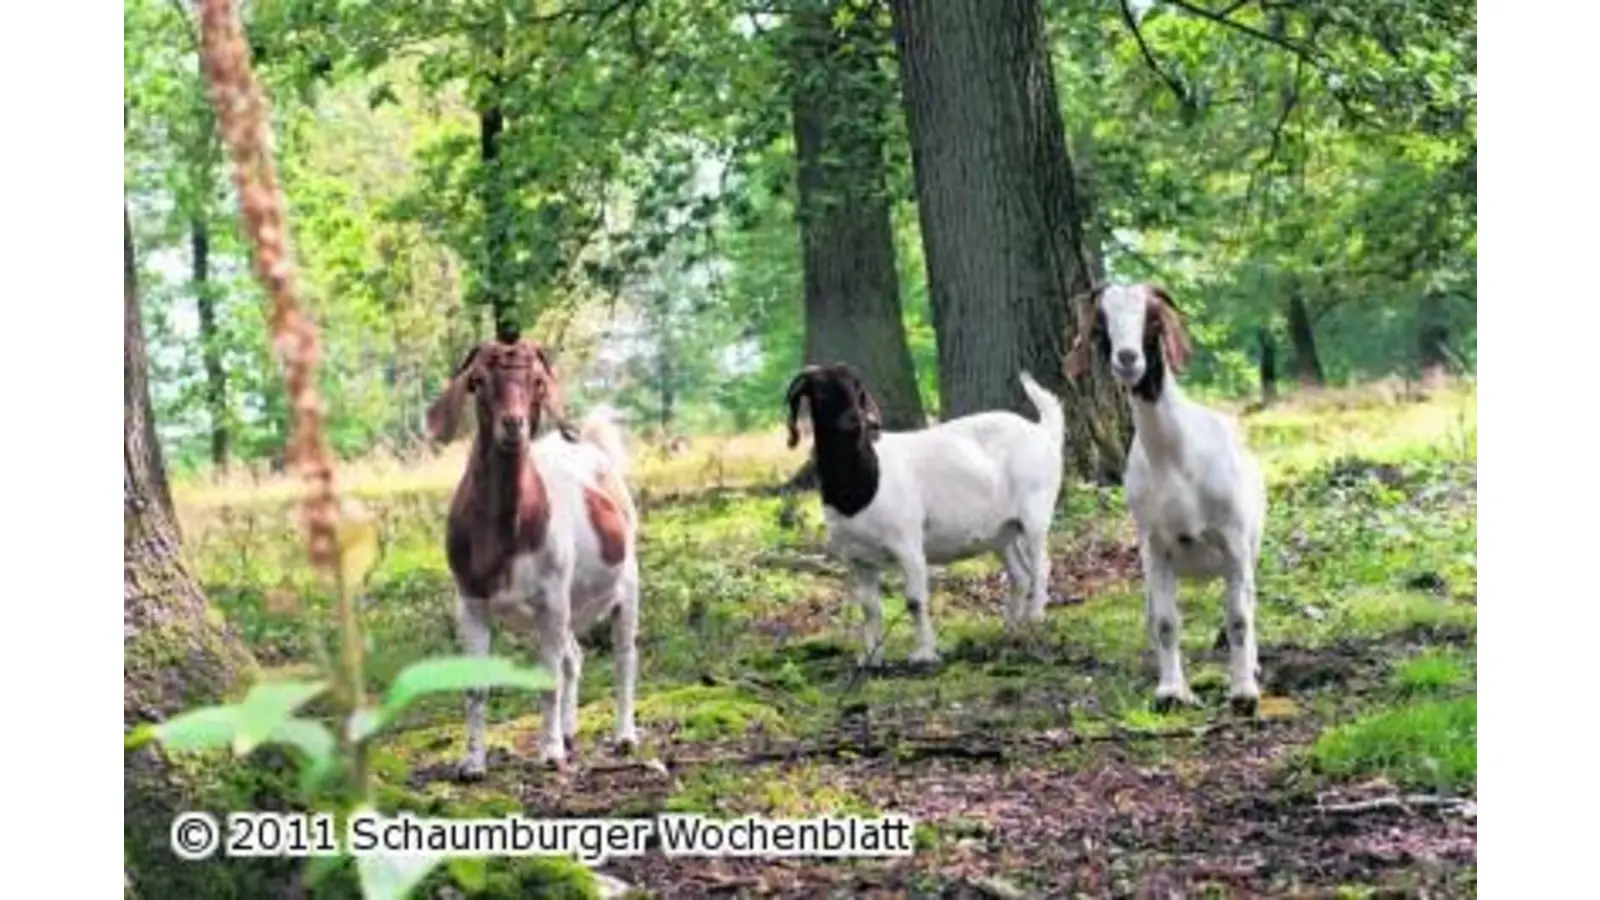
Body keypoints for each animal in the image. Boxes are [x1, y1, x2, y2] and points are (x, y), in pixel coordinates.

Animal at [425, 336, 640, 778]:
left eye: (538, 381)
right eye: (478, 380)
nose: (513, 425)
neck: (505, 536)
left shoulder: (551, 600)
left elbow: (548, 678)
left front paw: (550, 752)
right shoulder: (470, 602)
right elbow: (476, 686)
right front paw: (472, 764)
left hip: (626, 584)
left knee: (624, 655)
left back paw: (624, 736)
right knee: (574, 657)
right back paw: (571, 732)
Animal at [785, 363, 1066, 666]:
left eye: (858, 389)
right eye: (821, 391)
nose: (863, 422)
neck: (864, 483)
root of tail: (1043, 431)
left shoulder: (908, 545)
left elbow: (915, 601)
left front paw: (924, 654)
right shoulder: (858, 559)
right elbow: (870, 608)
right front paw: (871, 658)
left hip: (1035, 512)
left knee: (1041, 565)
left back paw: (1036, 617)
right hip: (1003, 531)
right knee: (1019, 575)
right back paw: (1011, 627)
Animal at [1064, 282, 1267, 714]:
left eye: (1153, 320)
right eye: (1101, 326)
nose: (1127, 359)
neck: (1177, 457)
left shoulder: (1234, 541)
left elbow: (1239, 618)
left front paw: (1243, 692)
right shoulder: (1155, 546)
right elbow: (1165, 621)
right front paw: (1172, 691)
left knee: (1249, 601)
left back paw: (1253, 666)